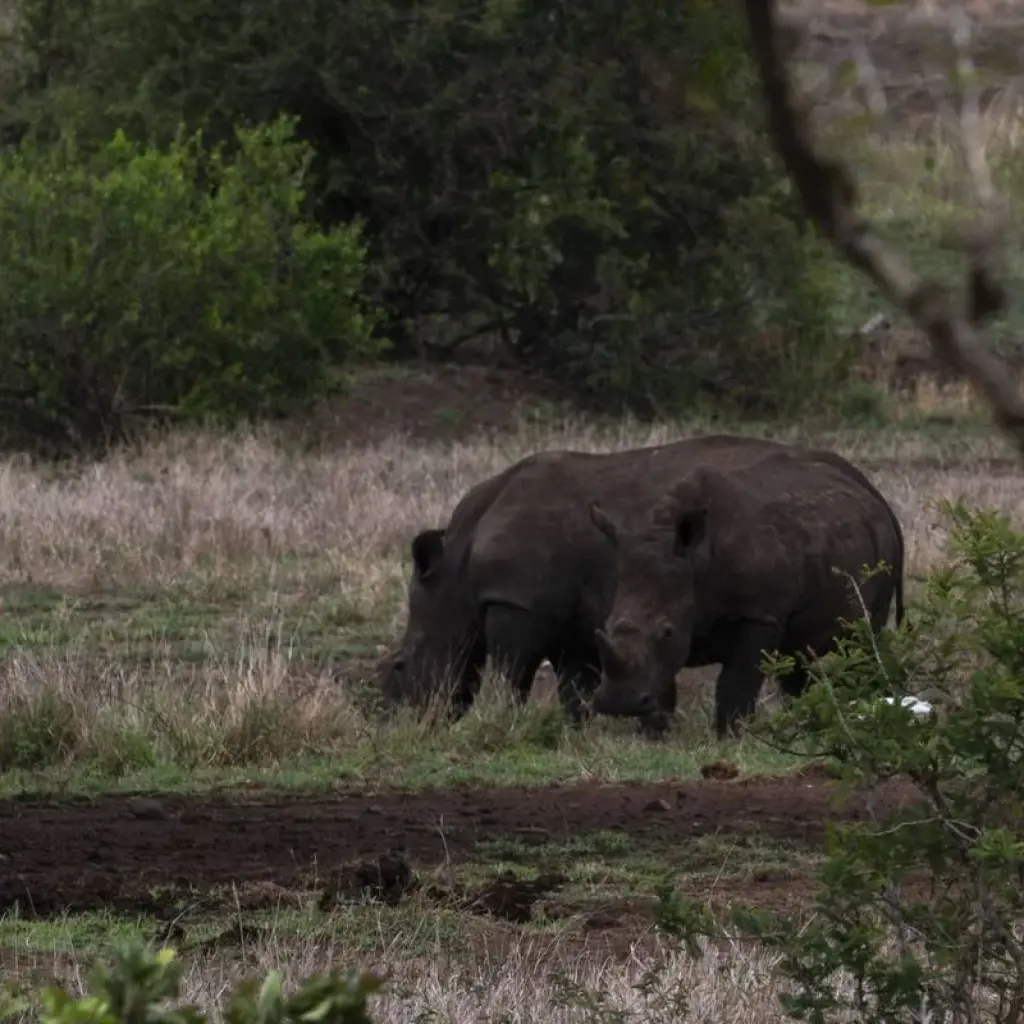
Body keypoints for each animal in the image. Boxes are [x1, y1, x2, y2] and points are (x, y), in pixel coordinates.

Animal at [380, 434, 810, 732]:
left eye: (400, 667)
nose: (400, 721)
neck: (457, 573)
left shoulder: (513, 600)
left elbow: (511, 671)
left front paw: (503, 717)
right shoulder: (576, 622)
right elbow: (575, 687)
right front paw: (576, 733)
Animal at [588, 443, 906, 738]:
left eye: (667, 631)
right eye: (607, 624)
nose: (618, 703)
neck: (696, 561)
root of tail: (875, 497)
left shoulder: (759, 616)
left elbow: (736, 683)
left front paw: (731, 738)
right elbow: (662, 682)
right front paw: (654, 737)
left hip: (882, 553)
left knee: (864, 640)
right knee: (798, 655)